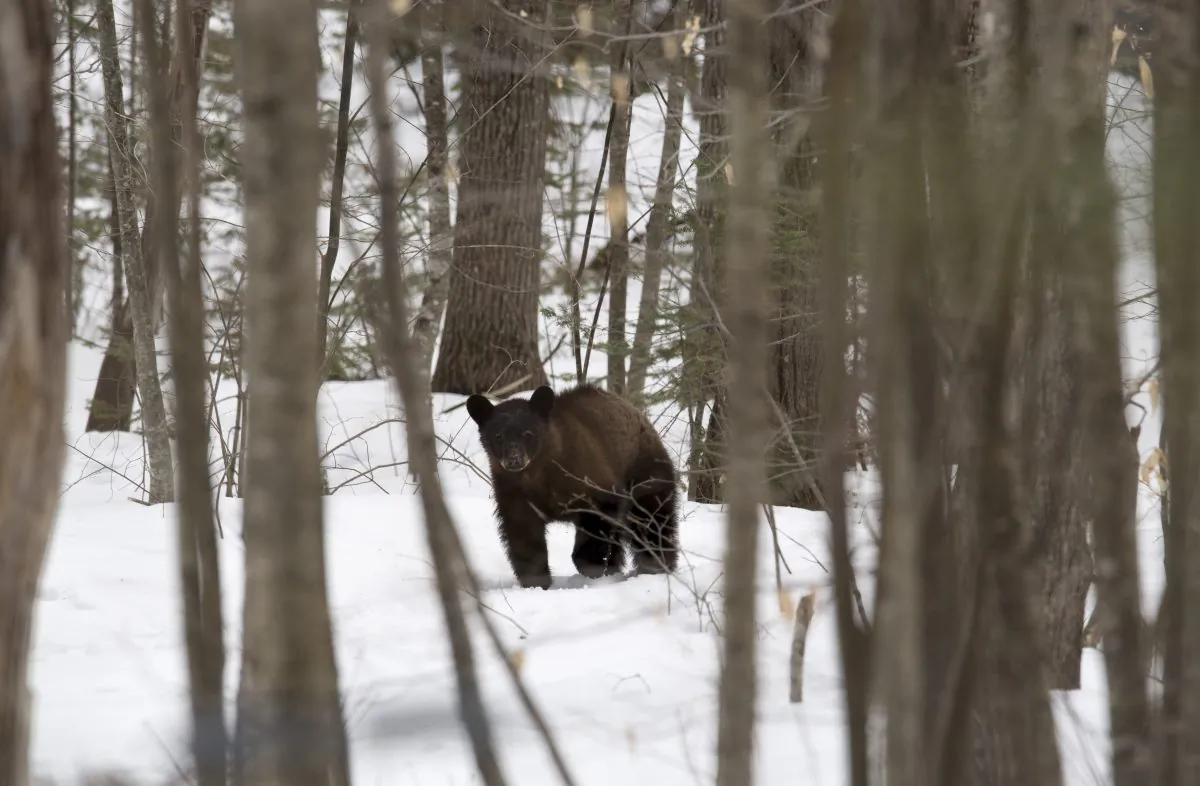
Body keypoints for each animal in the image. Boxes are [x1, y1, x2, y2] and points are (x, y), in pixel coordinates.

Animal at [465, 384, 680, 590]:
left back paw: (655, 565)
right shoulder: (515, 494)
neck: (538, 475)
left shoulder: (588, 481)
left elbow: (597, 522)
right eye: (498, 436)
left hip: (644, 473)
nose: (514, 460)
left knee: (652, 521)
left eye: (528, 433)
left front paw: (590, 565)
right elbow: (524, 537)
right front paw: (536, 581)